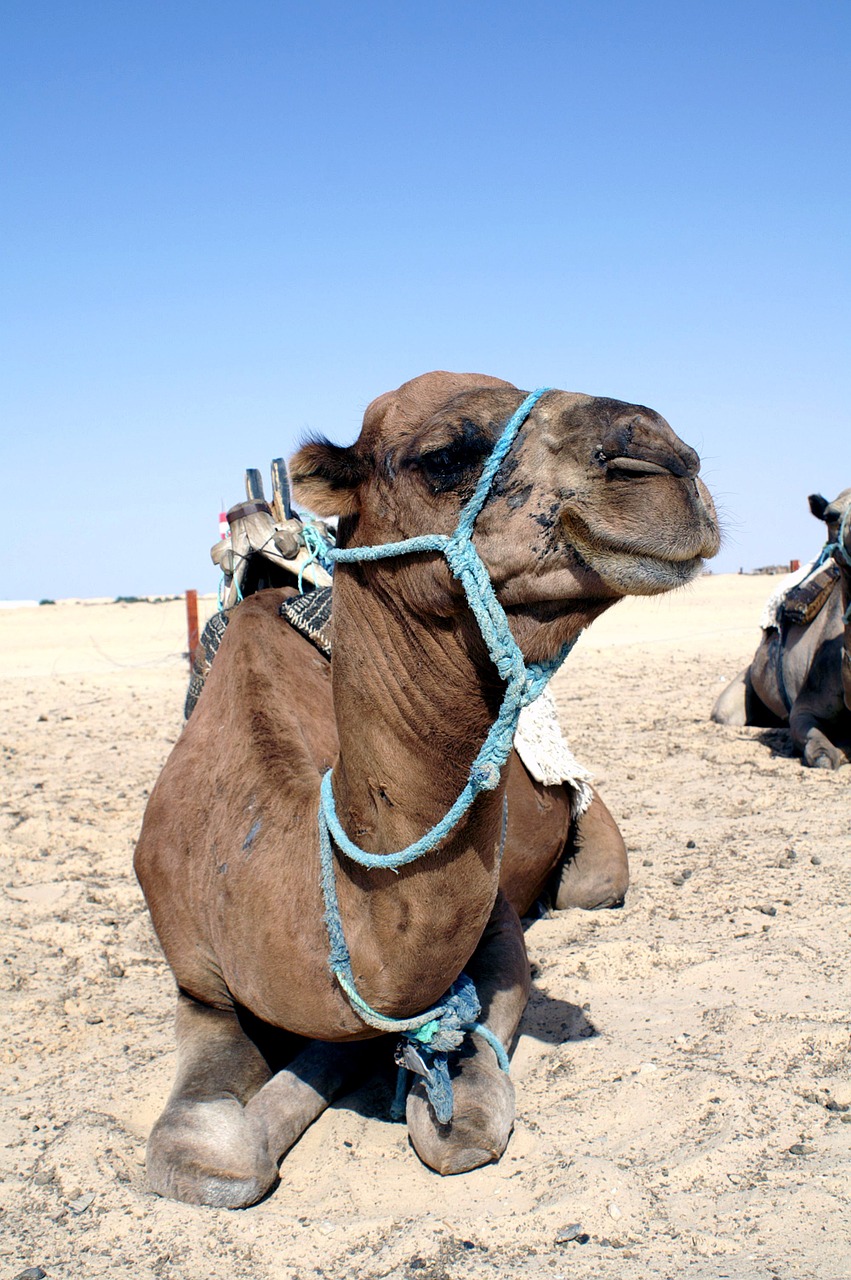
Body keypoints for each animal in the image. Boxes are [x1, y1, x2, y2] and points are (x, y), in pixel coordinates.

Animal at [134, 366, 716, 1203]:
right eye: (444, 456)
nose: (667, 460)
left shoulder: (496, 927)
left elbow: (458, 1128)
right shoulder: (197, 984)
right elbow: (205, 1156)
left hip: (594, 870)